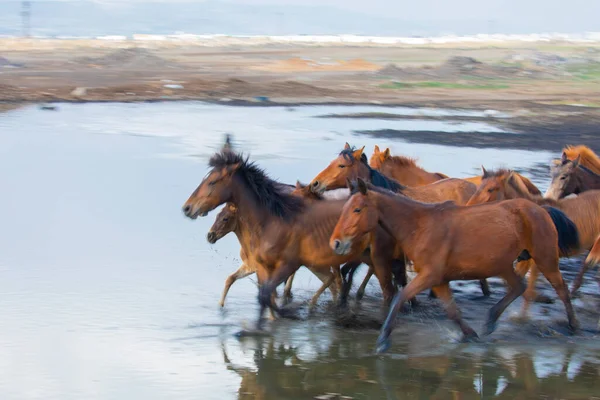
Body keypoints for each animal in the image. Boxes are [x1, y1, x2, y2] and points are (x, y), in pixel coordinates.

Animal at [183, 151, 406, 332]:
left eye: (212, 182)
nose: (187, 208)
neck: (271, 221)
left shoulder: (288, 264)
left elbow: (266, 294)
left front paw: (287, 314)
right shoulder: (262, 267)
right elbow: (262, 295)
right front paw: (262, 325)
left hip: (377, 259)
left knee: (385, 291)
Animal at [330, 178, 580, 354]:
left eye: (357, 209)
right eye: (345, 208)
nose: (336, 243)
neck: (420, 226)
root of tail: (540, 209)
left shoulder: (429, 276)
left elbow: (399, 298)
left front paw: (383, 340)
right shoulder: (440, 281)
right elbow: (452, 311)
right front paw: (469, 334)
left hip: (545, 259)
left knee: (561, 289)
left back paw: (573, 325)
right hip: (502, 265)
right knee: (519, 287)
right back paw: (490, 321)